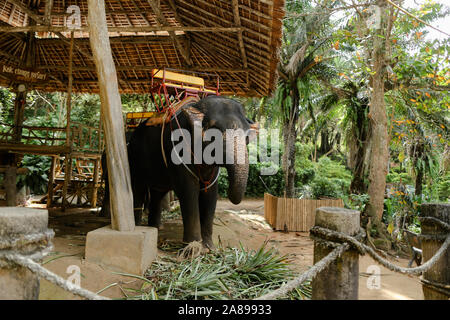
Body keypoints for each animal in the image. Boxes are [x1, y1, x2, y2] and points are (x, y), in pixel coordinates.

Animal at [103, 96, 255, 249]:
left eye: (247, 136)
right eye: (215, 134)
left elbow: (211, 193)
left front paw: (209, 247)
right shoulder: (177, 148)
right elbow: (189, 190)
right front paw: (193, 246)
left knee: (157, 192)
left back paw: (155, 227)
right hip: (135, 158)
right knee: (138, 188)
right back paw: (139, 226)